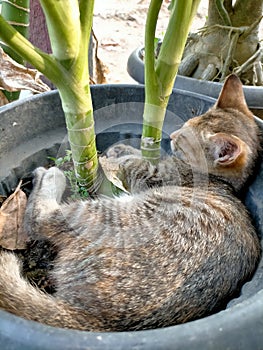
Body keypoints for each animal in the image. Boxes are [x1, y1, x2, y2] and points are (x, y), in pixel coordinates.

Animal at [0, 74, 260, 330]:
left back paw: (50, 175)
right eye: (186, 124)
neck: (219, 180)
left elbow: (137, 164)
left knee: (38, 218)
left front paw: (120, 154)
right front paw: (123, 148)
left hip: (100, 212)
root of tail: (95, 319)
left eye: (185, 140)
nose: (173, 136)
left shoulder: (152, 177)